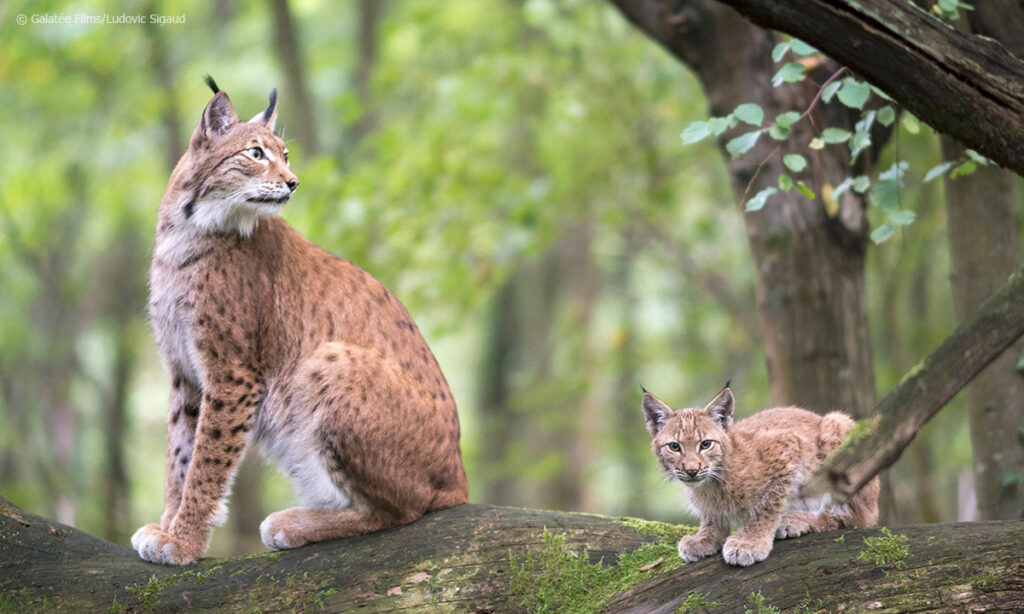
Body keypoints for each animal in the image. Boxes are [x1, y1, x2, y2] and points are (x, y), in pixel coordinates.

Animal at [131, 77, 468, 564]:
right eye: (256, 153)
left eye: (285, 155)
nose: (293, 182)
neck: (188, 230)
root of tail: (459, 476)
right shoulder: (183, 370)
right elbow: (179, 455)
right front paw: (168, 526)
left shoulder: (233, 371)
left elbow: (207, 460)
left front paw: (184, 540)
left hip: (327, 359)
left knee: (403, 510)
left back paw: (298, 523)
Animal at [643, 384, 876, 564]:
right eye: (674, 447)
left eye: (706, 444)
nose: (691, 470)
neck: (712, 481)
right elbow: (712, 514)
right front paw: (706, 537)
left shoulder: (785, 446)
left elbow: (765, 506)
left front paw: (749, 542)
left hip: (838, 425)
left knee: (857, 517)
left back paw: (795, 520)